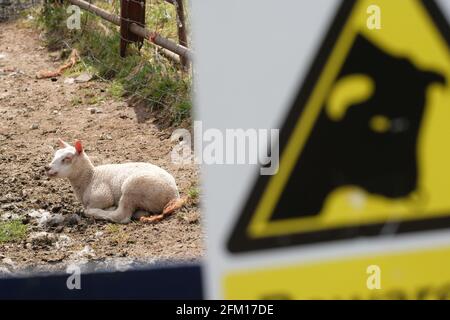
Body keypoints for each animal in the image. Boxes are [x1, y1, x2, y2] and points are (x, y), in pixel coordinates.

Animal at [44, 139, 184, 224]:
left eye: (67, 158)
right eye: (55, 154)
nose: (47, 168)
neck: (90, 178)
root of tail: (174, 196)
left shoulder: (102, 196)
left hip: (132, 186)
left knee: (121, 216)